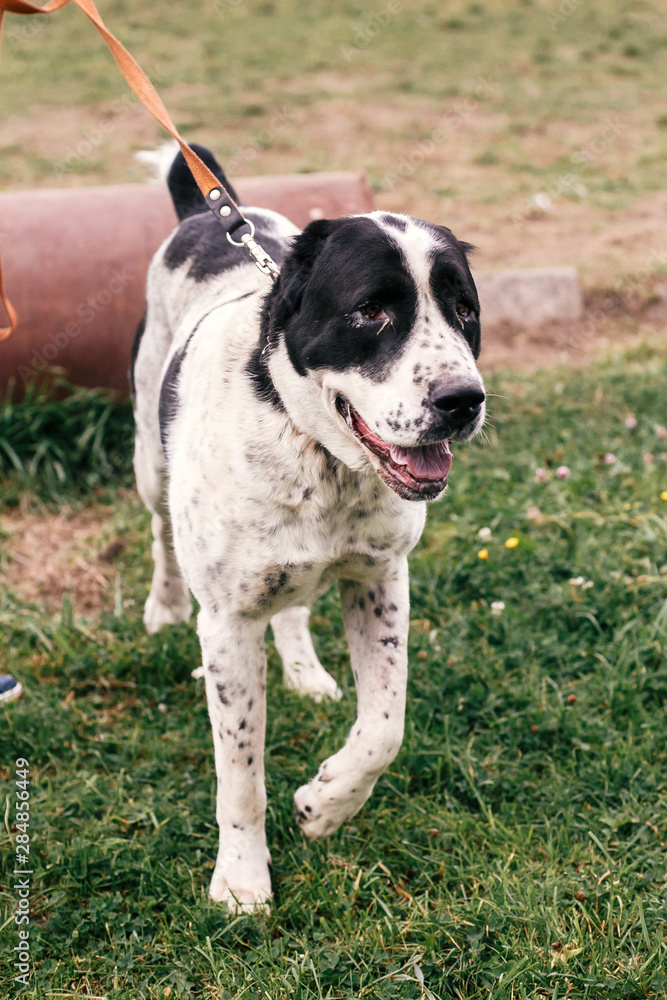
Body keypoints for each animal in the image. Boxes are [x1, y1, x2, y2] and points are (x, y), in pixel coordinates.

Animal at [130, 143, 486, 916]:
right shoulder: (228, 624)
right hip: (148, 457)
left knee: (291, 606)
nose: (463, 400)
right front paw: (241, 878)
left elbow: (385, 727)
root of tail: (205, 212)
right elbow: (240, 773)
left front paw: (326, 805)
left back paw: (304, 672)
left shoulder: (380, 579)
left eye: (464, 310)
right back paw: (163, 605)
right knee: (161, 533)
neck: (317, 452)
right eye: (370, 311)